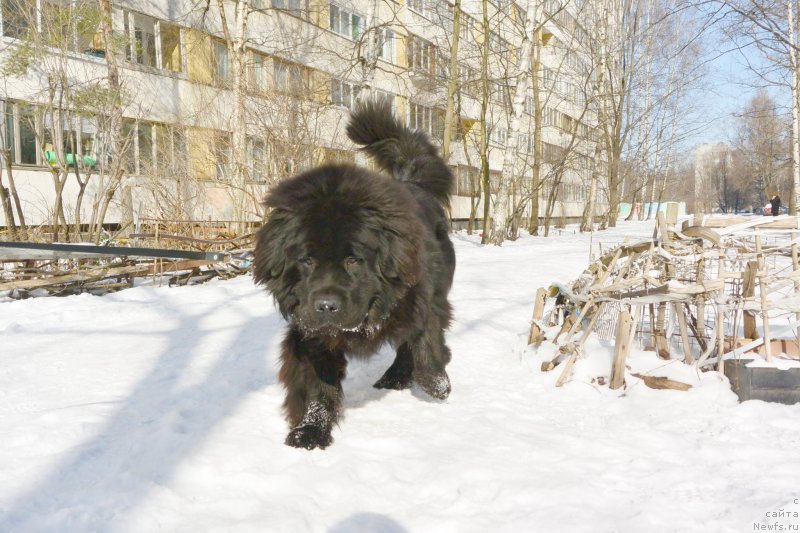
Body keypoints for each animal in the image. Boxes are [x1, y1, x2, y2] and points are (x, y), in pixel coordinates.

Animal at [256, 100, 456, 448]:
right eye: (307, 261)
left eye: (353, 260)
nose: (326, 306)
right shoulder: (309, 332)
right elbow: (317, 384)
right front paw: (310, 430)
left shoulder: (422, 299)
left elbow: (424, 340)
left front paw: (437, 383)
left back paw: (398, 376)